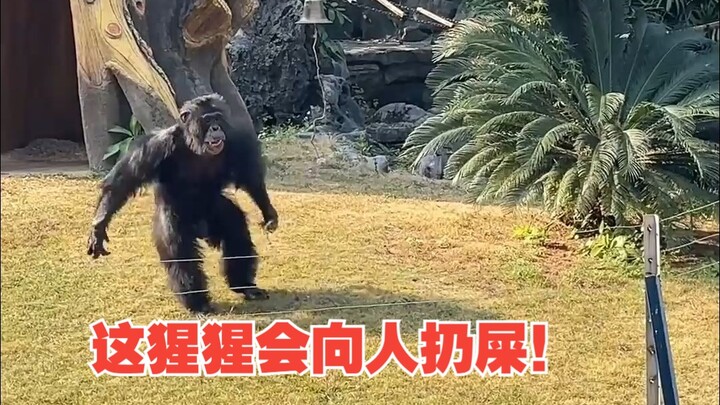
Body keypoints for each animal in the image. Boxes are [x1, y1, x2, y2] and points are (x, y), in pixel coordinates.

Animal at [85, 93, 278, 314]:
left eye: (218, 118)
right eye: (207, 120)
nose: (215, 128)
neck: (196, 148)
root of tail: (202, 228)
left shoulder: (237, 142)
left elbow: (249, 177)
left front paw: (268, 212)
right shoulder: (155, 146)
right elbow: (124, 181)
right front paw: (98, 227)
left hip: (215, 213)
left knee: (235, 232)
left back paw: (245, 286)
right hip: (174, 219)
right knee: (179, 250)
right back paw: (198, 302)